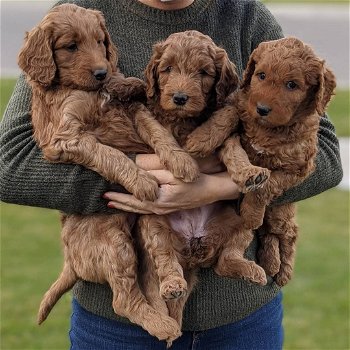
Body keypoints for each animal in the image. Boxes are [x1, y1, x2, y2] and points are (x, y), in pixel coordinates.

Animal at [17, 2, 202, 342]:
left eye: (100, 41)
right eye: (71, 46)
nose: (101, 72)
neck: (82, 89)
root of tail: (71, 263)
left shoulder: (133, 111)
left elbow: (158, 133)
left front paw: (180, 160)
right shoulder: (68, 138)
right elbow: (111, 154)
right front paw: (142, 182)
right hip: (116, 246)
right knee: (124, 301)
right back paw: (162, 325)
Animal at [186, 37, 336, 286]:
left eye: (292, 85)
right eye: (261, 75)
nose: (262, 109)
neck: (268, 129)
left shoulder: (297, 168)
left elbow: (266, 186)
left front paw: (251, 213)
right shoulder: (240, 105)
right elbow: (227, 116)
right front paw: (201, 138)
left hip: (279, 213)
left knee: (285, 234)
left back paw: (281, 269)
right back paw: (269, 261)